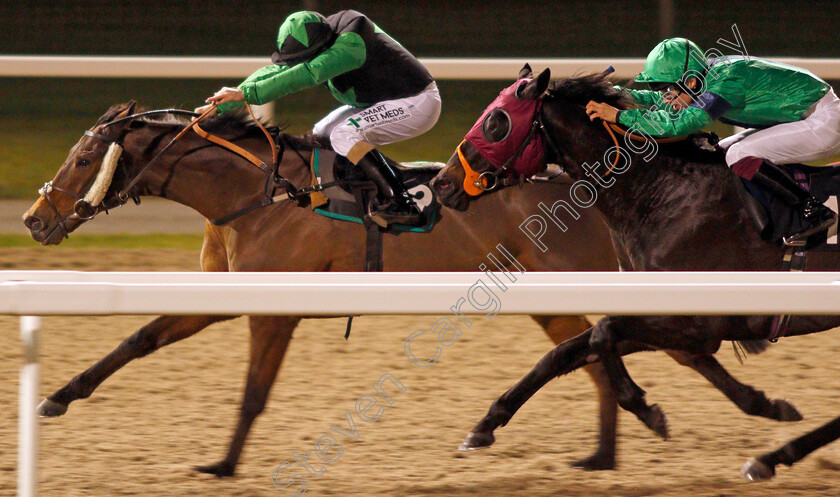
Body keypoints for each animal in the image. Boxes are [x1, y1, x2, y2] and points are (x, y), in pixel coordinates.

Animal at [23, 100, 800, 476]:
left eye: (86, 158)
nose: (33, 218)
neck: (256, 192)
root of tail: (584, 183)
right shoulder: (219, 295)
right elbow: (137, 338)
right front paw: (58, 396)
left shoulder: (275, 309)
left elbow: (252, 393)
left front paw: (222, 463)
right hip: (549, 295)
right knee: (611, 352)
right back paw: (612, 448)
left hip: (568, 283)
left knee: (644, 348)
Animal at [430, 64, 840, 478]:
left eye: (497, 122)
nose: (440, 183)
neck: (661, 193)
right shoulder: (665, 316)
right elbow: (567, 351)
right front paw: (484, 425)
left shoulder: (702, 323)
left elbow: (602, 335)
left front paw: (647, 409)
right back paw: (773, 457)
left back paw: (770, 458)